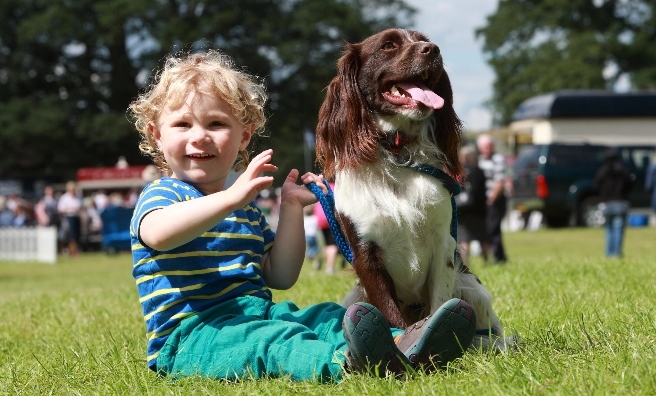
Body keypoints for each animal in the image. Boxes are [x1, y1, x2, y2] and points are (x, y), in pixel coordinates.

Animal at [316, 27, 504, 346]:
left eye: (423, 40)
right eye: (388, 45)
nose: (433, 49)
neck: (397, 151)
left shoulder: (444, 243)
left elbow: (441, 300)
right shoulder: (366, 253)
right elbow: (390, 312)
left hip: (472, 286)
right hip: (354, 296)